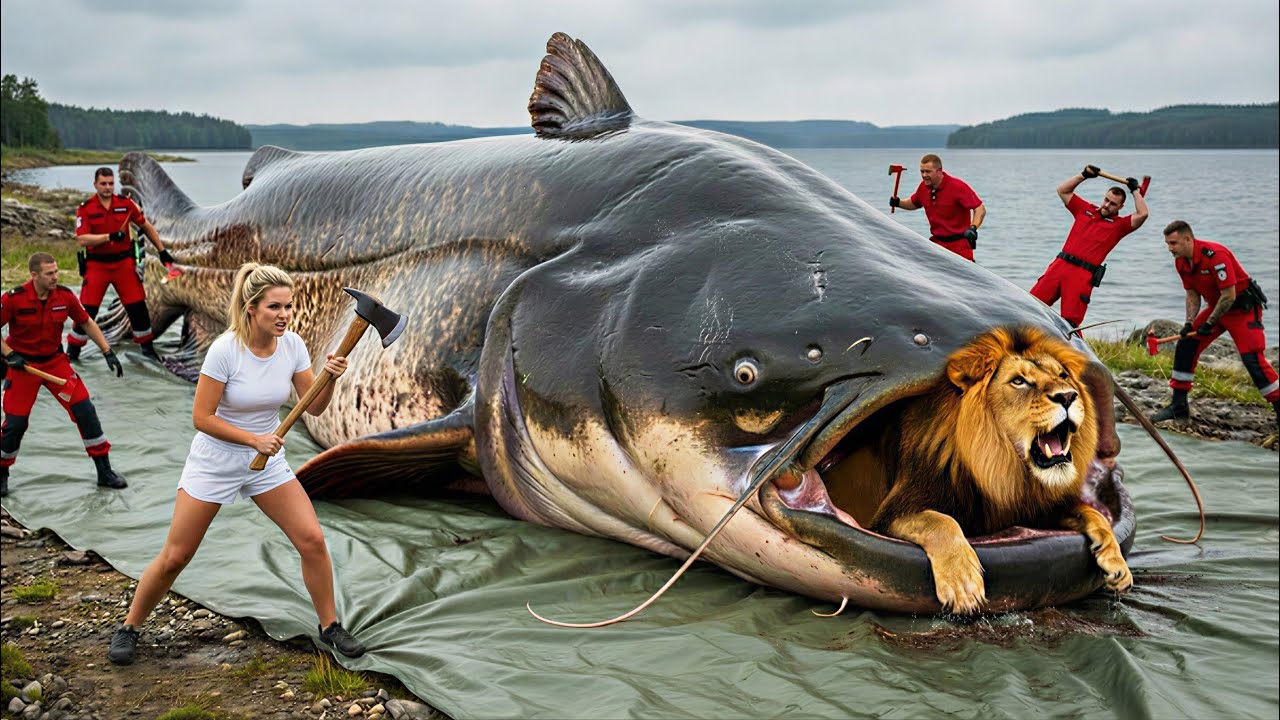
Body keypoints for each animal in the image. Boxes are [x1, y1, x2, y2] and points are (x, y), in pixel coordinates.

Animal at [869, 326, 1132, 614]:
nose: (1067, 396)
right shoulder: (890, 515)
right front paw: (963, 584)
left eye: (1062, 375)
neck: (1005, 470)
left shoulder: (1038, 509)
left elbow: (1093, 513)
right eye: (1019, 381)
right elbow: (940, 521)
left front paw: (1116, 561)